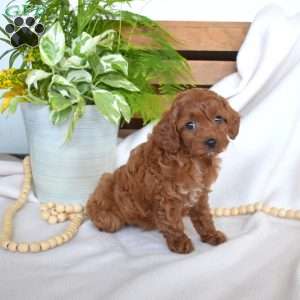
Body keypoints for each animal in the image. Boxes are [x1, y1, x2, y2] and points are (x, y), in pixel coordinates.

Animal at [86, 88, 239, 254]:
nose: (211, 142)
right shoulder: (167, 196)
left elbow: (204, 216)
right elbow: (173, 222)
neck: (192, 159)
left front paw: (211, 235)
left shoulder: (200, 193)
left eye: (219, 119)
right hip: (107, 204)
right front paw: (180, 242)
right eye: (190, 125)